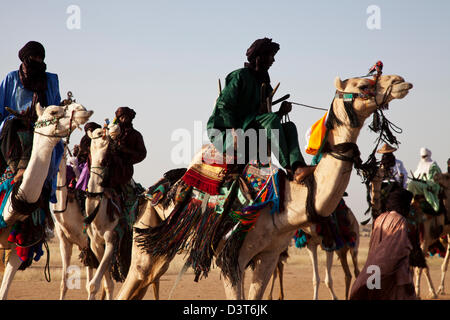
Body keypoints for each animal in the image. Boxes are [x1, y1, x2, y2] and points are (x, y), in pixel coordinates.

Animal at [118, 73, 412, 300]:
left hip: (162, 248)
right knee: (134, 280)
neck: (284, 204)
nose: (399, 81)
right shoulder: (230, 257)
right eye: (362, 85)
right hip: (146, 235)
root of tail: (149, 193)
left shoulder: (270, 256)